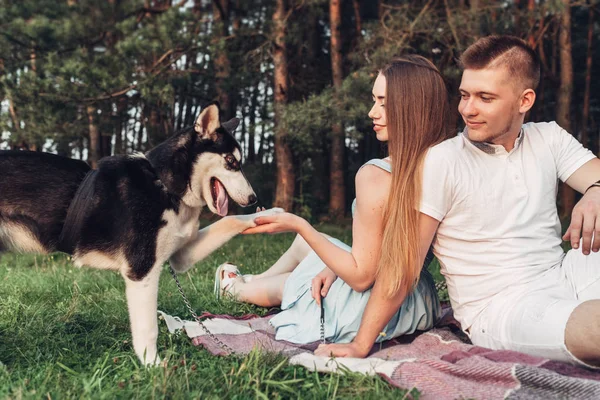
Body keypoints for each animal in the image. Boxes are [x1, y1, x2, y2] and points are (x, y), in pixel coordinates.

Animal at [0, 104, 280, 366]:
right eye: (231, 162)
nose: (253, 199)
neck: (164, 185)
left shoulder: (179, 257)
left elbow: (229, 220)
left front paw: (270, 214)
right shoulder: (142, 271)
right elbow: (148, 328)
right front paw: (152, 365)